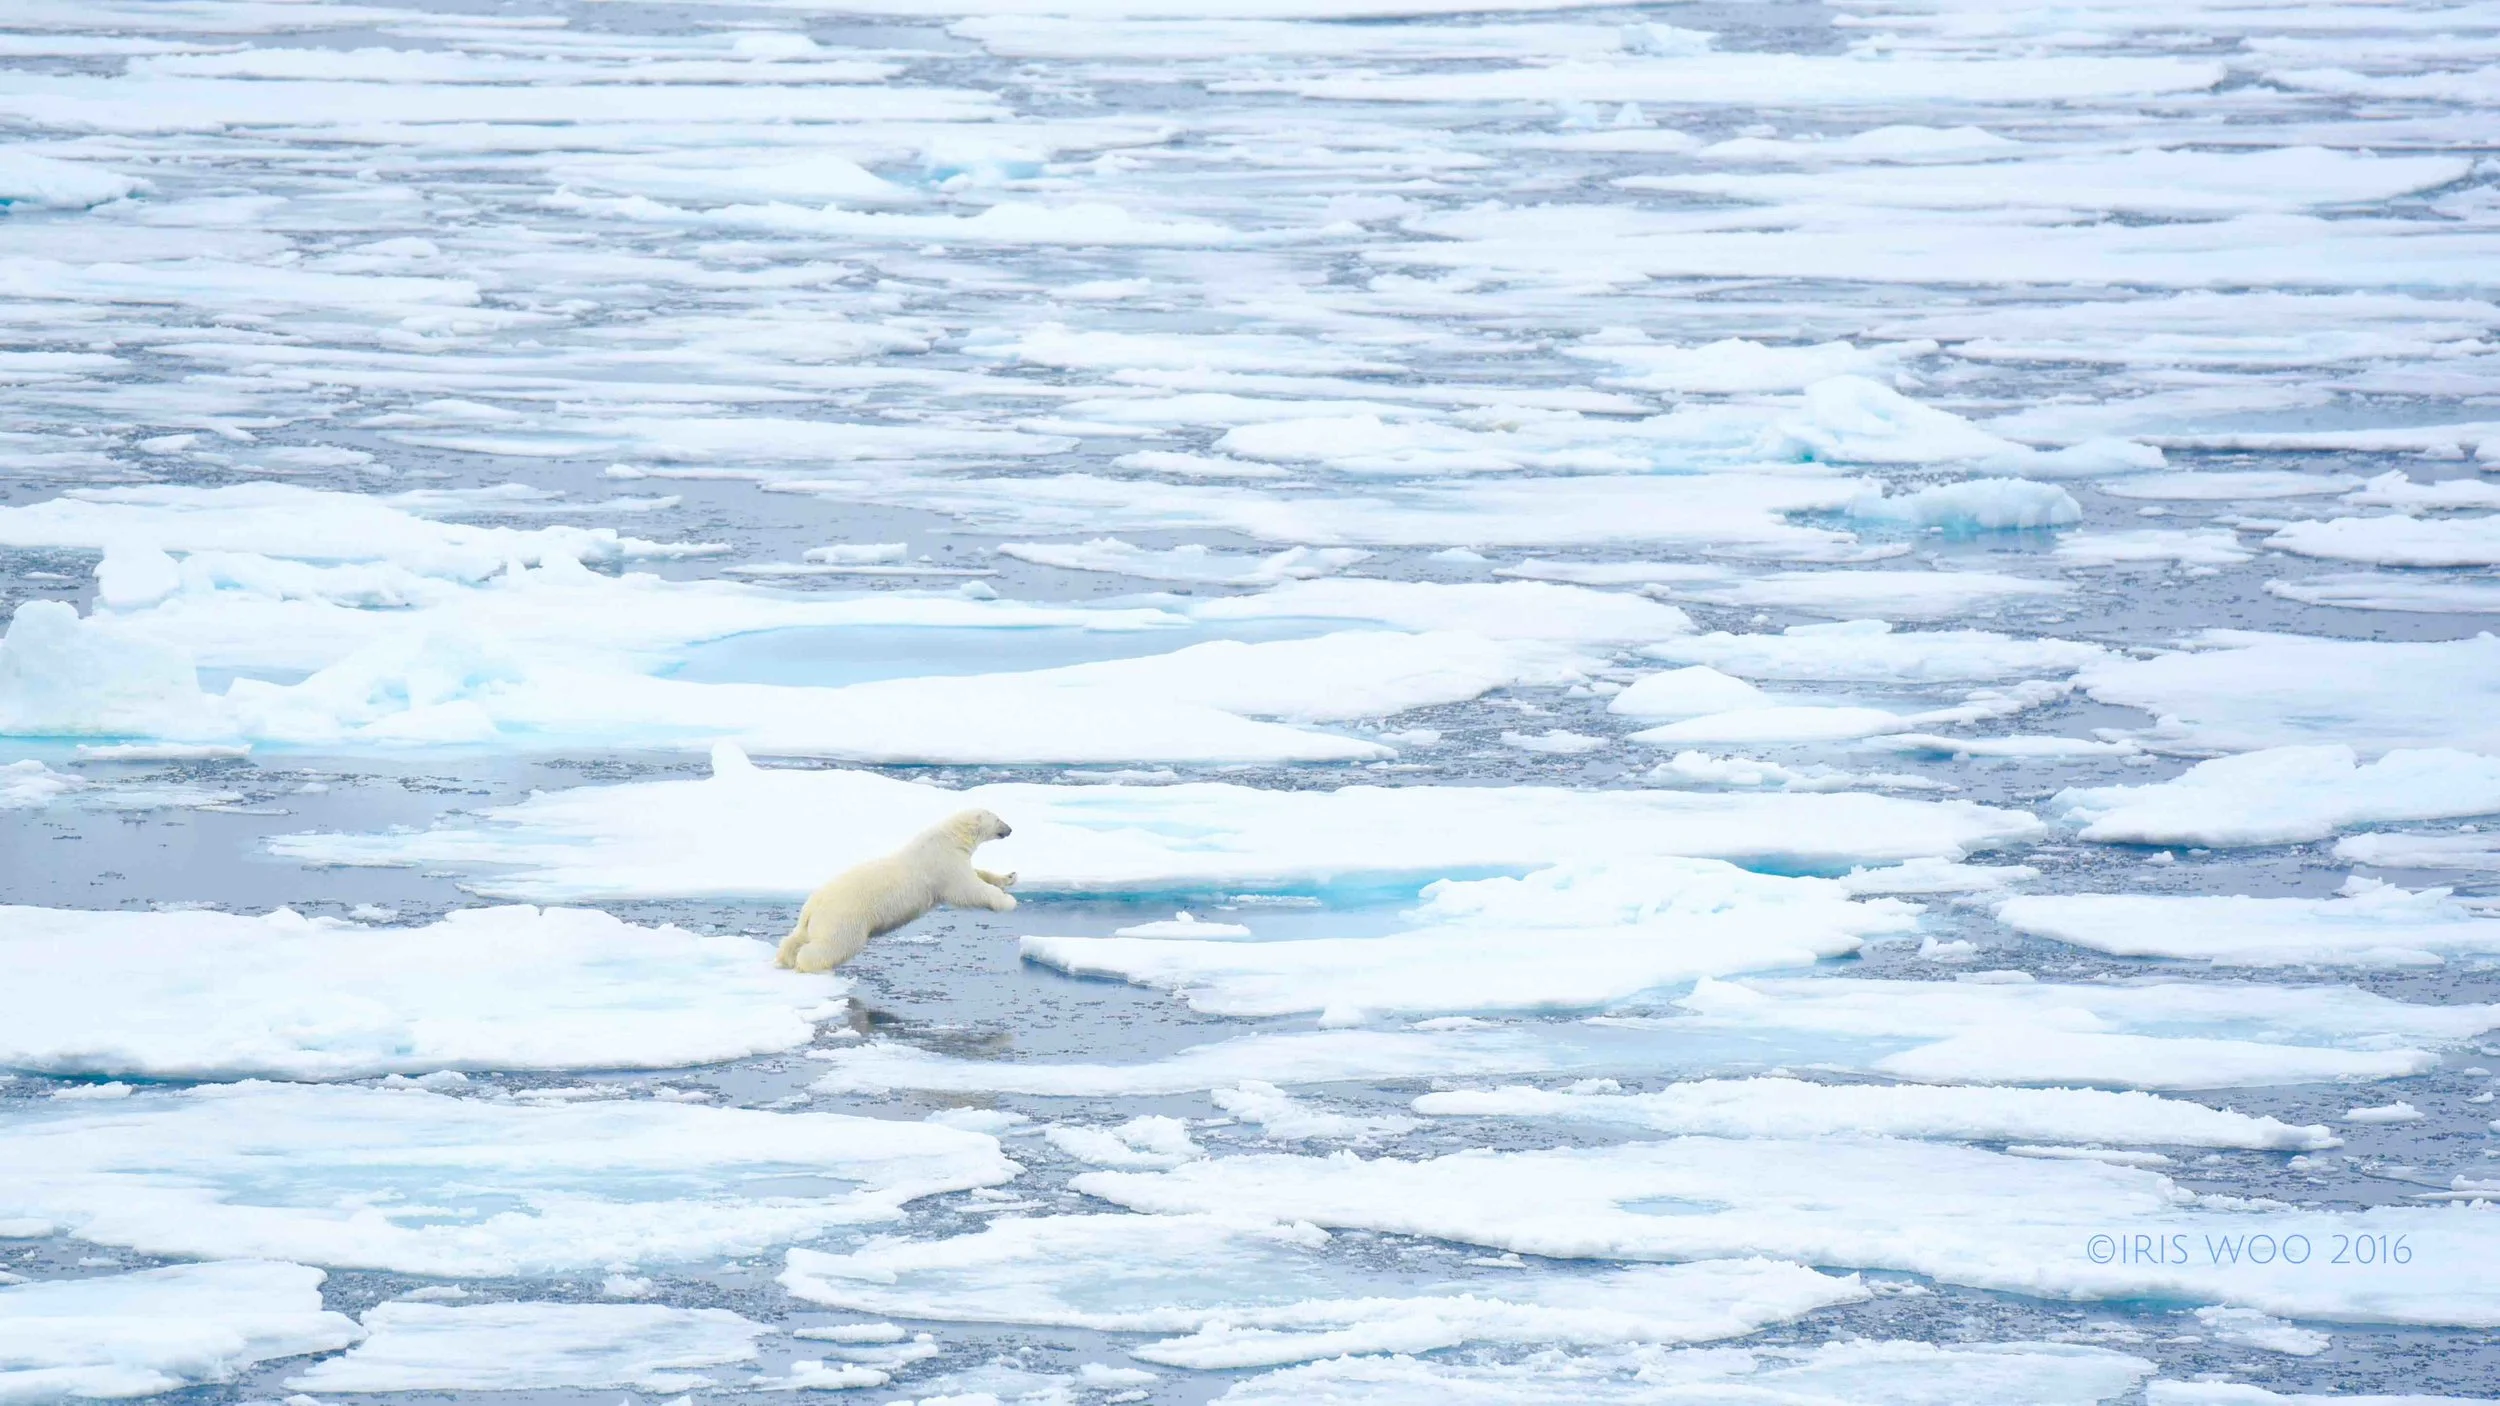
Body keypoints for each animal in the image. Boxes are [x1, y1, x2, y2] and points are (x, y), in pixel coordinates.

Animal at [774, 809, 1018, 974]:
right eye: (998, 818)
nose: (1010, 829)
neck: (950, 837)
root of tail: (812, 907)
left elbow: (977, 874)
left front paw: (1009, 877)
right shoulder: (943, 864)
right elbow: (969, 889)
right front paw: (1008, 901)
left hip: (814, 921)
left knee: (795, 937)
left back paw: (785, 958)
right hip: (844, 919)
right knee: (834, 945)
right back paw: (809, 965)